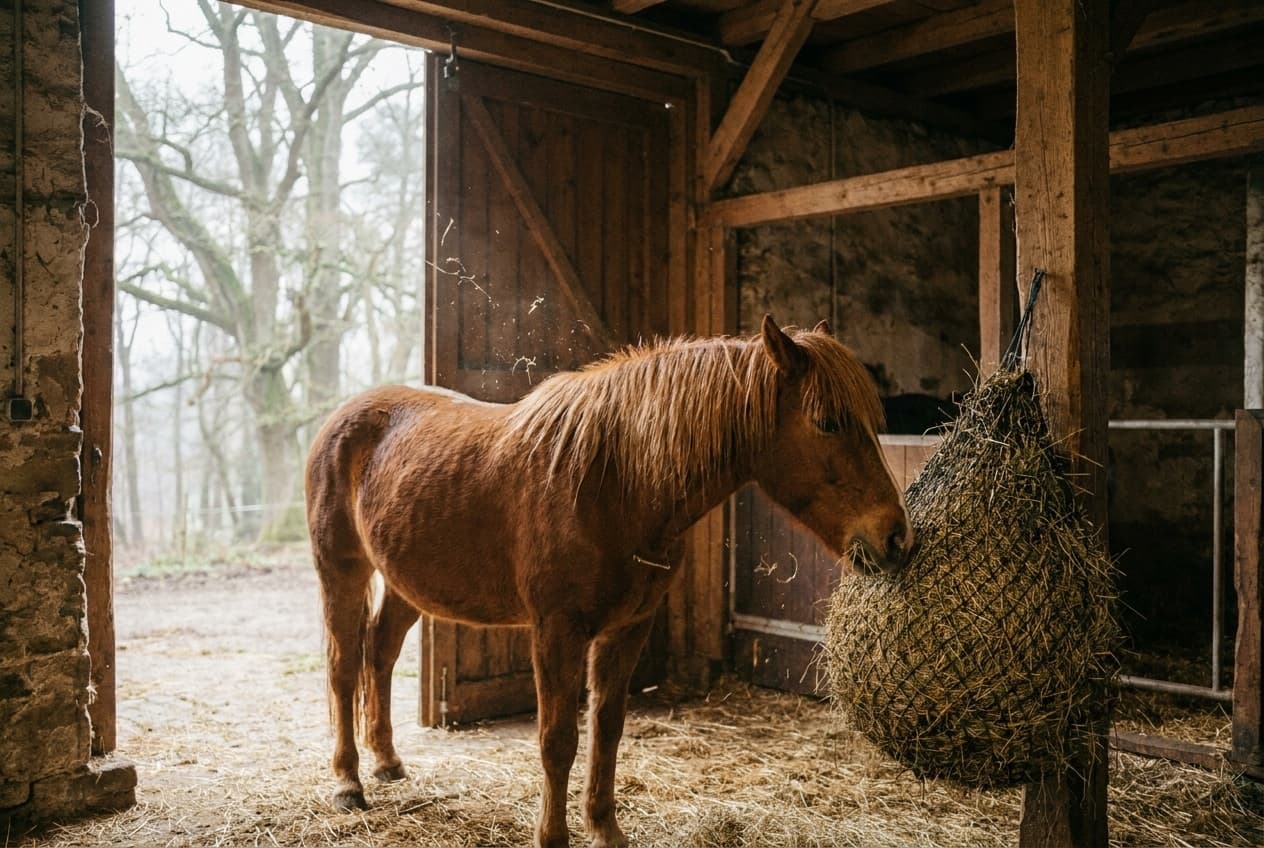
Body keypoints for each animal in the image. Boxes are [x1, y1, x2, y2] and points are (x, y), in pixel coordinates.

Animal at [304, 315, 913, 848]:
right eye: (827, 421)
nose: (896, 537)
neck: (614, 482)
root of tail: (343, 417)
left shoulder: (628, 629)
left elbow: (608, 729)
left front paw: (605, 829)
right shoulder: (557, 630)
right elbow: (557, 740)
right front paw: (552, 836)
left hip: (407, 584)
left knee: (380, 653)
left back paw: (387, 763)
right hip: (341, 571)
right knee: (342, 667)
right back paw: (348, 784)